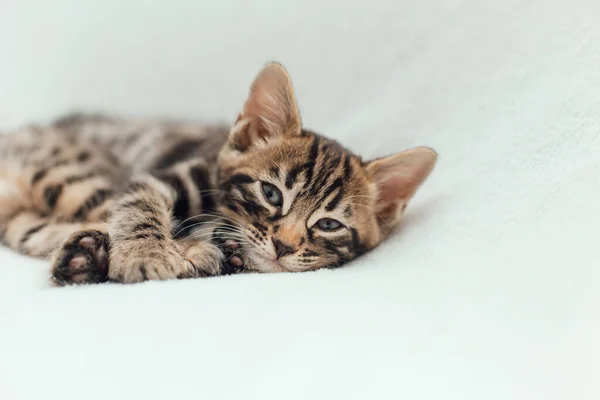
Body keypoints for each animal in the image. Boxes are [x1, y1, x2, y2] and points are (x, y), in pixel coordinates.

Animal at [1, 62, 440, 284]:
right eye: (272, 193)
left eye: (329, 224)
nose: (283, 247)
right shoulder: (162, 177)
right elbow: (138, 208)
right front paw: (147, 254)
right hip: (71, 174)